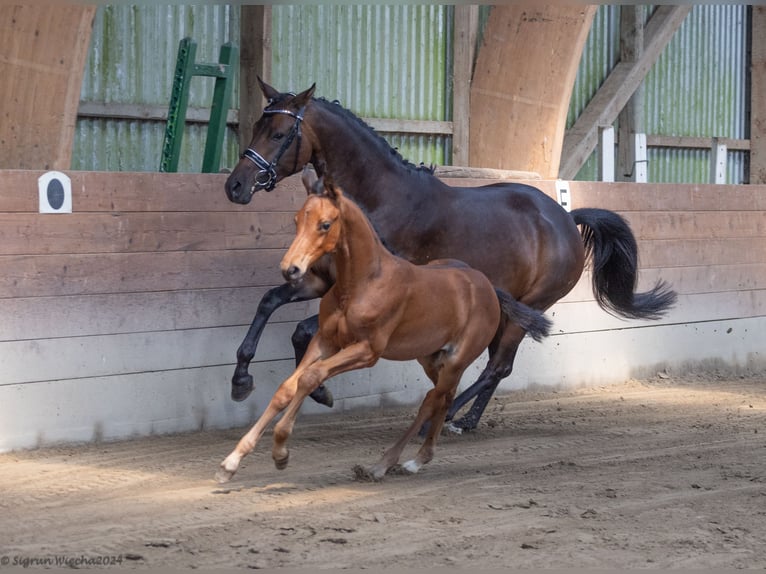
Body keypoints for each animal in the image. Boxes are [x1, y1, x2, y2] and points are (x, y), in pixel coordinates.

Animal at [216, 173, 552, 484]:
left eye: (325, 224)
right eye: (297, 219)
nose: (291, 269)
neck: (360, 284)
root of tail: (488, 286)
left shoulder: (367, 351)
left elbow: (311, 377)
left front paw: (280, 452)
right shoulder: (325, 340)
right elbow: (288, 386)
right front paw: (232, 461)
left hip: (458, 358)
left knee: (435, 398)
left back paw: (389, 463)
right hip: (431, 357)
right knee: (441, 396)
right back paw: (418, 458)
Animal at [224, 79, 680, 434]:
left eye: (280, 133)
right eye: (257, 125)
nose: (235, 186)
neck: (378, 201)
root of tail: (566, 218)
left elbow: (304, 329)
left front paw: (318, 389)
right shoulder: (323, 281)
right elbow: (271, 304)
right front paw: (243, 380)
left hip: (532, 305)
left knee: (498, 367)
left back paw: (446, 419)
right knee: (499, 366)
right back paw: (466, 420)